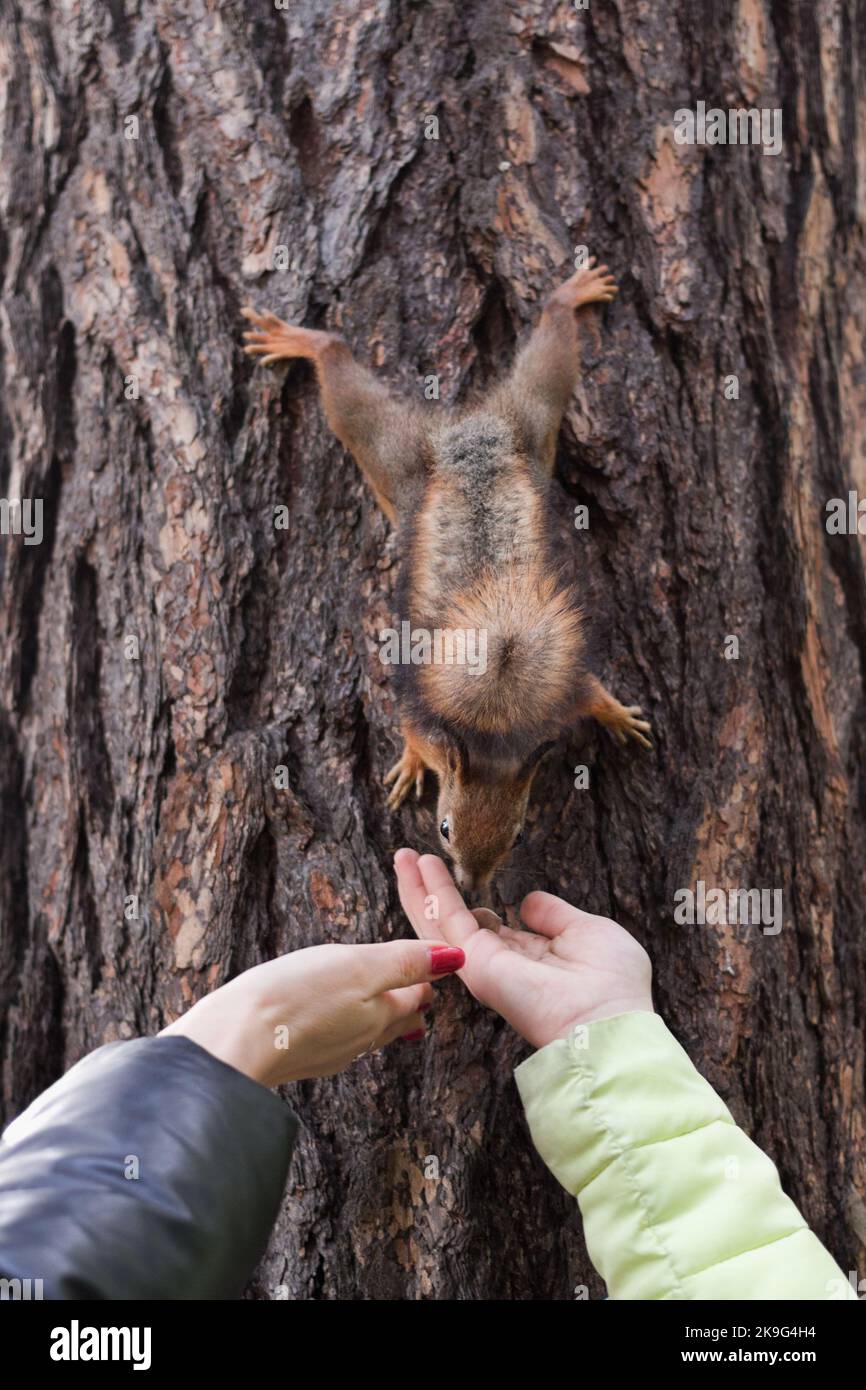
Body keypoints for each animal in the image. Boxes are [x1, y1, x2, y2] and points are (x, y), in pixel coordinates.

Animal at [241, 258, 650, 889]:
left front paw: (618, 716)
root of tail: (469, 442)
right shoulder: (432, 725)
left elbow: (591, 692)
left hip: (528, 420)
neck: (494, 737)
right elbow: (413, 733)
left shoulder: (561, 699)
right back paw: (301, 341)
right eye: (444, 829)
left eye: (516, 836)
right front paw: (411, 763)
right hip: (406, 453)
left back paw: (568, 295)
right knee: (345, 382)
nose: (469, 887)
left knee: (549, 354)